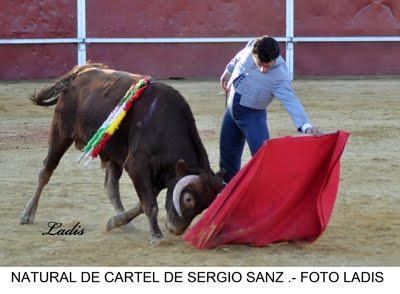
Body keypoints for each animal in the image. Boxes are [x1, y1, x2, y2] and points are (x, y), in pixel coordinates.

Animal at [21, 64, 225, 246]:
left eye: (206, 205)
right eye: (188, 198)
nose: (176, 229)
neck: (164, 125)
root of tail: (80, 74)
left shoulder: (159, 175)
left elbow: (142, 204)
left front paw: (115, 221)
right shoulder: (137, 165)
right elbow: (150, 204)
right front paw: (157, 237)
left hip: (113, 154)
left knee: (111, 187)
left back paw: (122, 222)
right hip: (60, 133)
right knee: (46, 171)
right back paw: (27, 214)